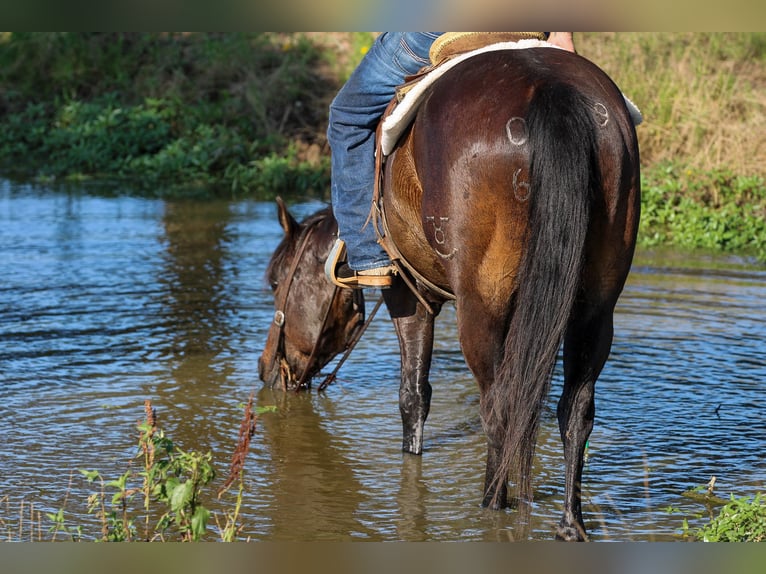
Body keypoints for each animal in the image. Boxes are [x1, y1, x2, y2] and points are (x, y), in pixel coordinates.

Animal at [258, 46, 640, 544]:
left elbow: (413, 396)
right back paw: (569, 525)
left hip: (482, 308)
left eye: (276, 281)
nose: (267, 368)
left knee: (498, 408)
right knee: (575, 410)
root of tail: (549, 89)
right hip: (596, 308)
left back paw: (492, 505)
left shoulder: (407, 295)